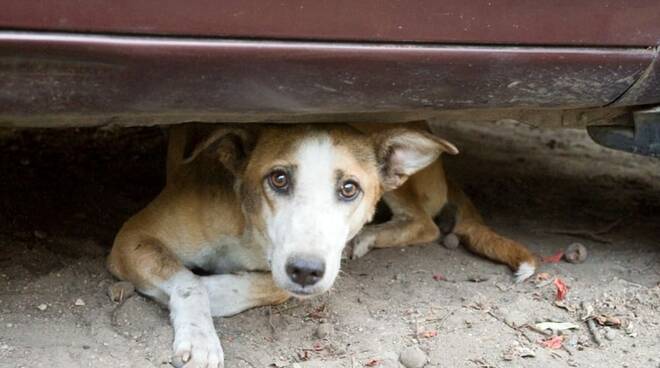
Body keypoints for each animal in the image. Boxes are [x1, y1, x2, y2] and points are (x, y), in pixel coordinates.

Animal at [105, 122, 532, 366]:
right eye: (278, 179)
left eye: (349, 188)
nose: (306, 271)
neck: (251, 230)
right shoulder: (132, 238)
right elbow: (188, 281)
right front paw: (199, 335)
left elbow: (268, 287)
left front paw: (214, 295)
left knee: (425, 224)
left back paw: (366, 236)